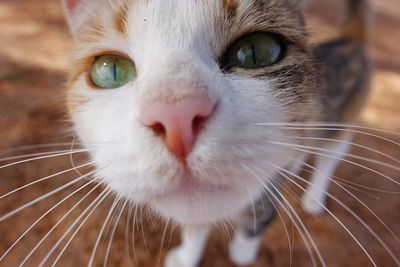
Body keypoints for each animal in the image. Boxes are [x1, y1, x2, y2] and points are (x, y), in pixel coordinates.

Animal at [59, 0, 372, 266]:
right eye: (110, 69)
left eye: (256, 52)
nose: (177, 116)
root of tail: (351, 42)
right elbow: (195, 227)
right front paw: (187, 256)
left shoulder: (268, 192)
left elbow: (256, 223)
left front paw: (242, 252)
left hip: (342, 123)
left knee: (329, 158)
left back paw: (314, 197)